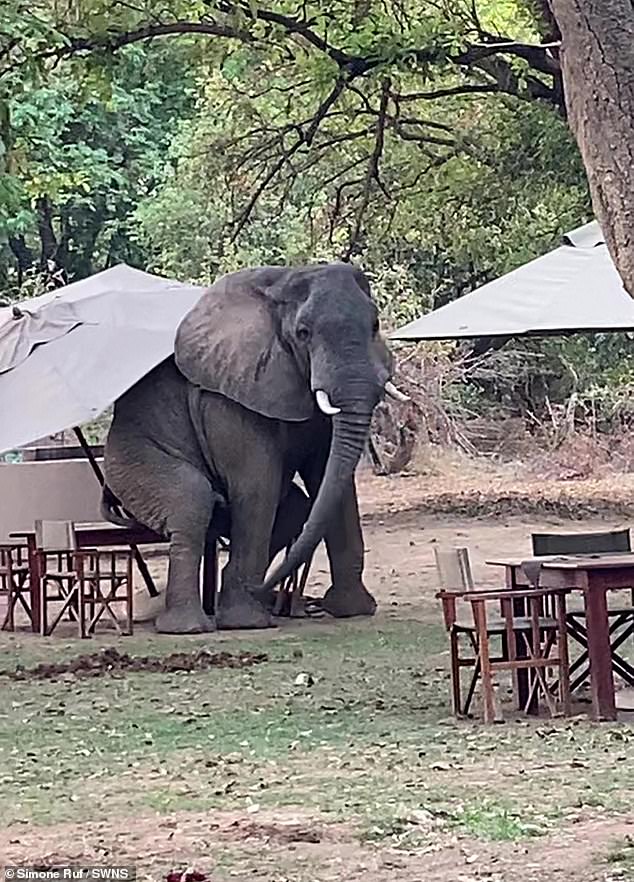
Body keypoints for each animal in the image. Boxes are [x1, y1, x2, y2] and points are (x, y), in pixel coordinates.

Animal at [101, 262, 402, 632]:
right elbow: (258, 485)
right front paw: (245, 622)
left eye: (375, 325)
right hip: (127, 462)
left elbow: (331, 481)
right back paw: (191, 625)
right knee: (193, 498)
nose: (269, 592)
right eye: (303, 333)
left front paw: (352, 609)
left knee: (294, 510)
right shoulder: (230, 398)